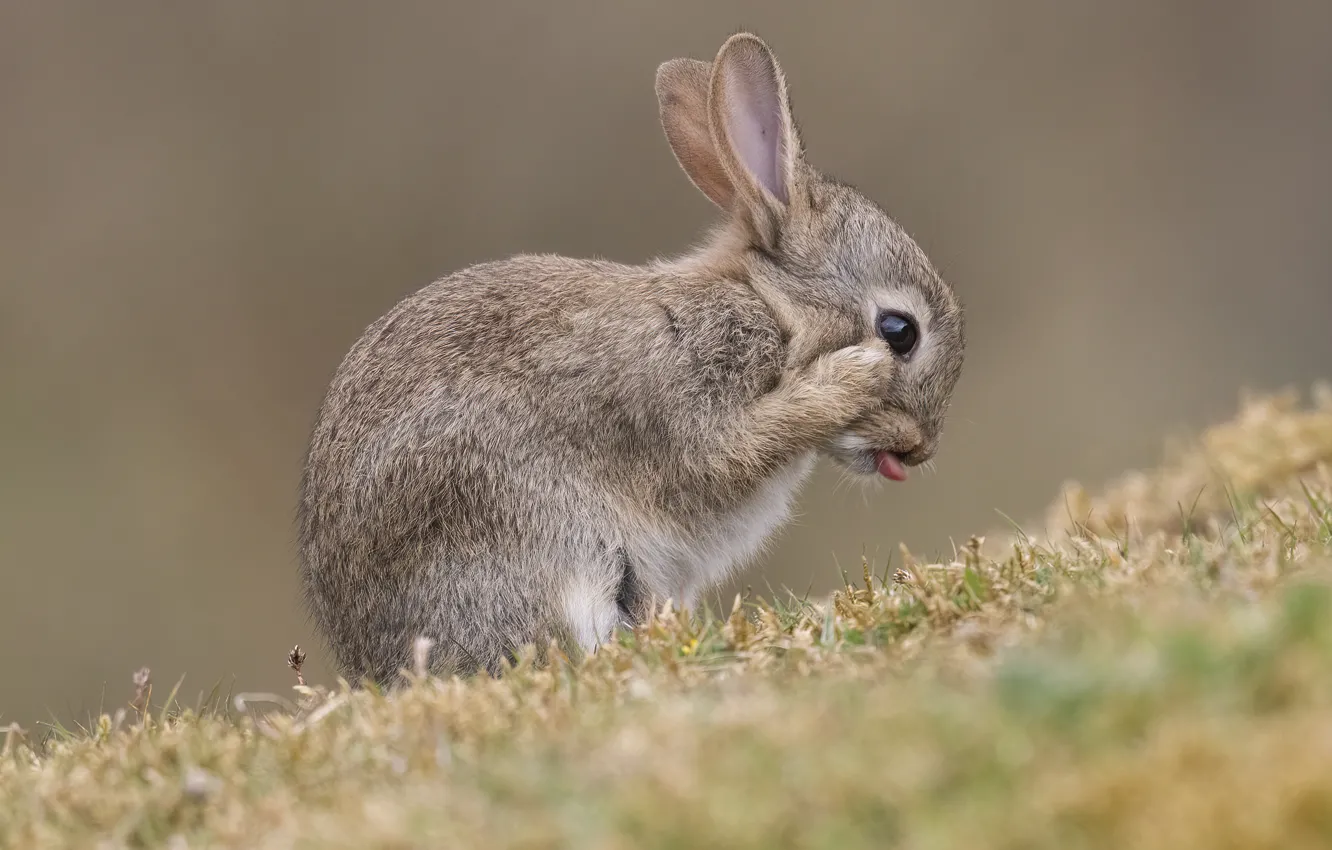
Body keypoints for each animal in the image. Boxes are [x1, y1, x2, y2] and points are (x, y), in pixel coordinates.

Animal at [297, 31, 966, 686]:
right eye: (899, 331)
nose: (921, 448)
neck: (773, 310)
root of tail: (373, 661)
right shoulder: (692, 401)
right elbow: (738, 448)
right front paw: (856, 373)